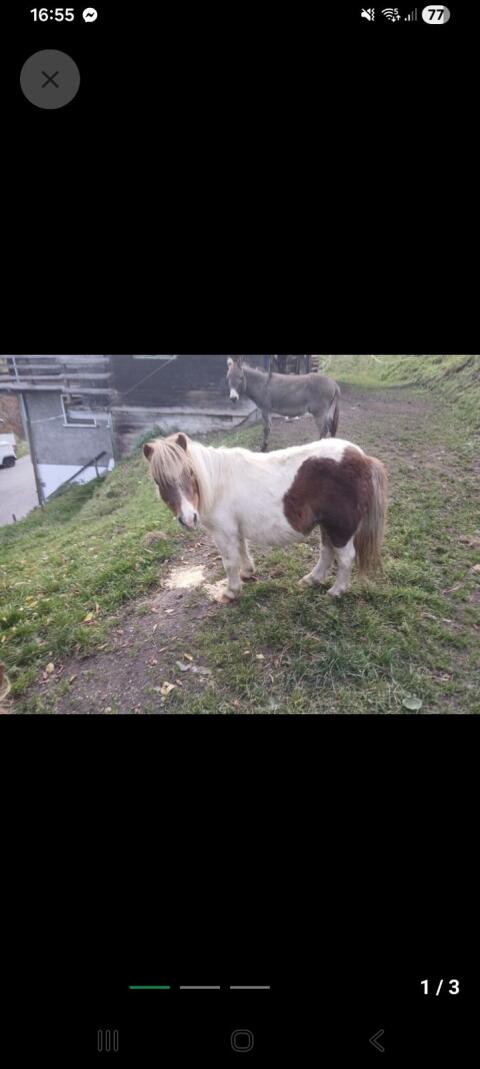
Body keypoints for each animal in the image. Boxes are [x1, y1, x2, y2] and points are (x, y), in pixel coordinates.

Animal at [144, 432, 387, 604]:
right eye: (158, 481)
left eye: (190, 473)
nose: (188, 519)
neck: (217, 482)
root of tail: (362, 458)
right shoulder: (235, 530)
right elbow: (242, 550)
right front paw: (247, 573)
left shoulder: (223, 533)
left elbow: (229, 562)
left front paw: (231, 592)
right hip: (327, 525)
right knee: (327, 552)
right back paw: (311, 580)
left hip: (340, 528)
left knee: (345, 558)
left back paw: (335, 591)